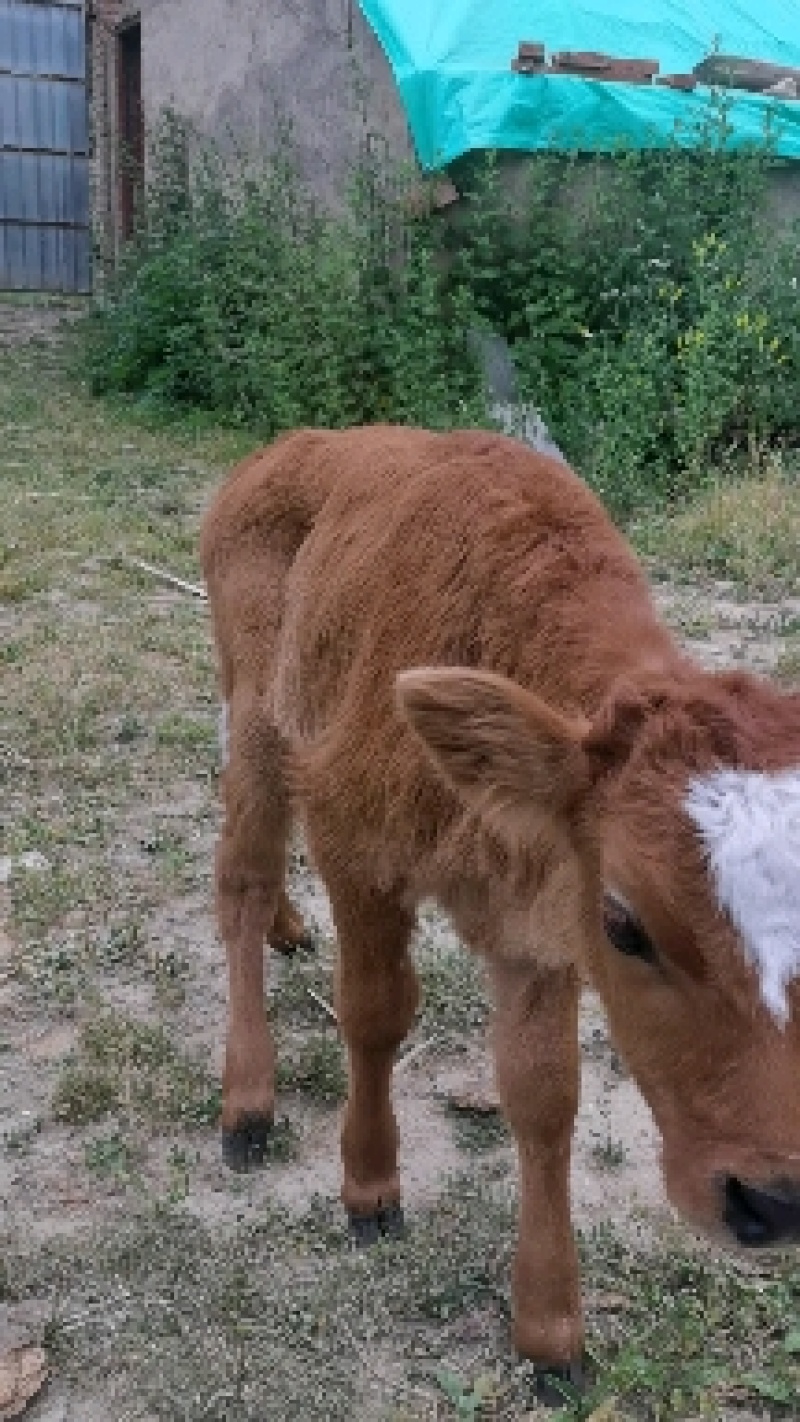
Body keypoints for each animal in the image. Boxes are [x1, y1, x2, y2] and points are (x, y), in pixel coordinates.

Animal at [200, 423, 800, 1399]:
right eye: (626, 922)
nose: (775, 1200)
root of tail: (284, 449)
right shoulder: (353, 839)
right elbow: (375, 1014)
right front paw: (370, 1186)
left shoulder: (538, 923)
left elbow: (544, 1094)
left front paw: (551, 1332)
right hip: (255, 705)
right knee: (241, 877)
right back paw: (247, 1100)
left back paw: (292, 928)